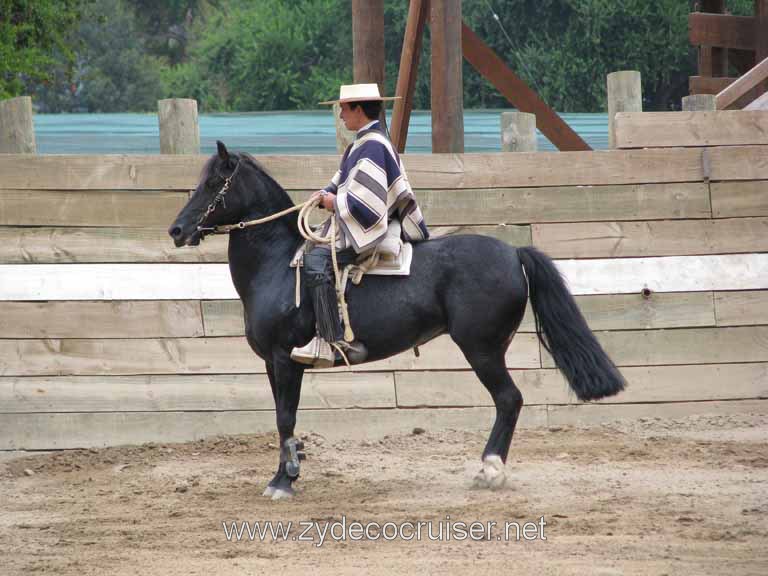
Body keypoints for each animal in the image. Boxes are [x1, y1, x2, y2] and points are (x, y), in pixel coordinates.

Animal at [168, 143, 624, 500]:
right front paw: (286, 472)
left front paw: (283, 482)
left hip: (482, 349)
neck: (279, 265)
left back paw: (490, 470)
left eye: (213, 184)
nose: (177, 229)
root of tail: (514, 253)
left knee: (509, 399)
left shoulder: (285, 359)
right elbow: (283, 420)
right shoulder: (270, 363)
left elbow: (286, 419)